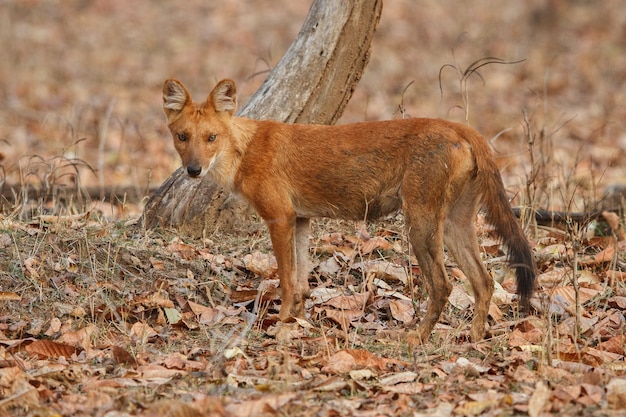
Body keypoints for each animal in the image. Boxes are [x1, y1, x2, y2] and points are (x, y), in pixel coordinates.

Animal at [163, 78, 532, 342]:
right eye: (182, 137)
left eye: (211, 137)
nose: (193, 170)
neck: (245, 148)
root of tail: (460, 127)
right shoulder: (301, 219)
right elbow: (301, 282)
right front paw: (298, 321)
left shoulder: (279, 218)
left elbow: (286, 279)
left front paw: (279, 325)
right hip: (456, 224)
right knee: (483, 280)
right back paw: (474, 338)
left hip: (419, 223)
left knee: (443, 285)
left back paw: (417, 337)